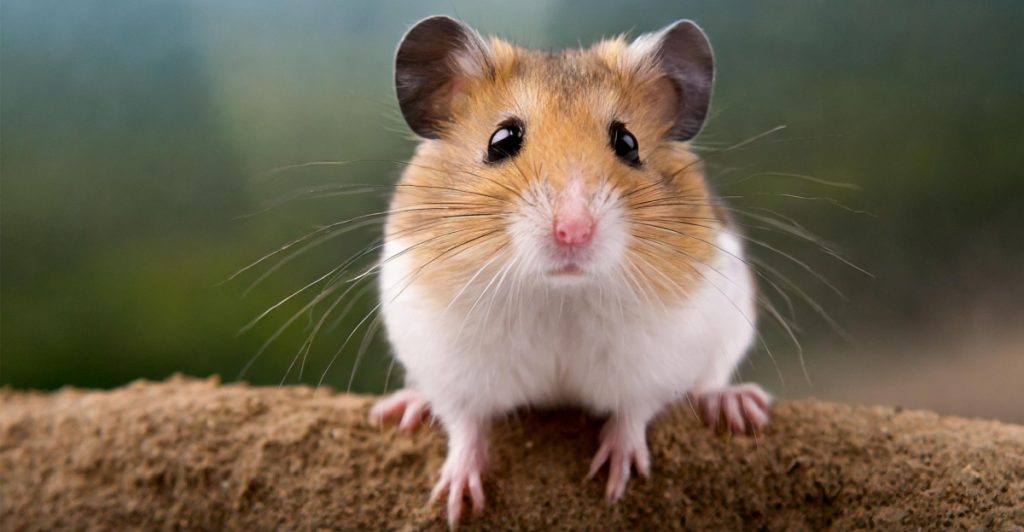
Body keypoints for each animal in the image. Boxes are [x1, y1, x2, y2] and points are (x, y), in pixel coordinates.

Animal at [369, 16, 771, 527]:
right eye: (501, 140)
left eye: (628, 142)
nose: (573, 231)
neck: (559, 295)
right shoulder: (449, 363)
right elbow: (464, 424)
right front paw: (455, 504)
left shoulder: (658, 358)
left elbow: (633, 412)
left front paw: (616, 482)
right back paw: (402, 409)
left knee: (710, 382)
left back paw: (737, 405)